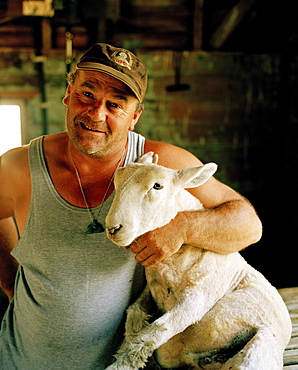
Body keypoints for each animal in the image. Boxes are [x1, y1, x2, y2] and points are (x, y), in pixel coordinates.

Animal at [104, 152, 292, 370]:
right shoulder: (149, 291)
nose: (114, 228)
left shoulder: (198, 297)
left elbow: (156, 330)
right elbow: (134, 316)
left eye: (157, 186)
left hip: (257, 352)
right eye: (117, 179)